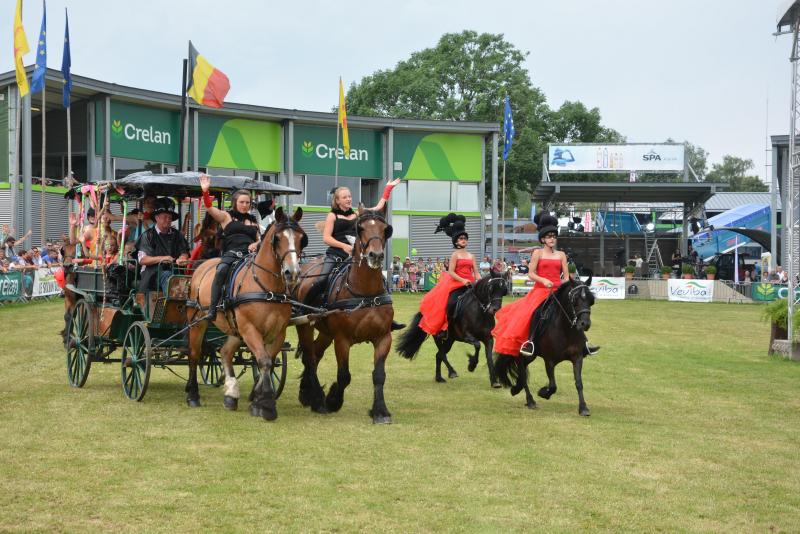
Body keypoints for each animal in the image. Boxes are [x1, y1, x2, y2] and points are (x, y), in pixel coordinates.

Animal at [186, 207, 308, 420]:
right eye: (277, 238)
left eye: (301, 238)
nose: (292, 273)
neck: (267, 287)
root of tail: (202, 266)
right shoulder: (250, 329)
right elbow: (264, 361)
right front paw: (266, 405)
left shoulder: (278, 332)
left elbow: (266, 361)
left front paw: (257, 400)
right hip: (199, 322)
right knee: (195, 354)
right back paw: (193, 395)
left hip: (235, 328)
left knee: (225, 352)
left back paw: (231, 395)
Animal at [292, 206, 396, 428]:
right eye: (360, 228)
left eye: (385, 229)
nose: (375, 255)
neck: (365, 293)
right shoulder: (342, 340)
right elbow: (344, 375)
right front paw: (333, 400)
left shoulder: (384, 338)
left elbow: (379, 375)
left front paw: (380, 411)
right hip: (305, 325)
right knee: (309, 358)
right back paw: (317, 400)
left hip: (325, 333)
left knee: (315, 354)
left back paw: (307, 393)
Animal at [496, 276, 596, 418]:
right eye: (574, 299)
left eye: (591, 300)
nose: (585, 324)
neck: (565, 329)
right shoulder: (549, 360)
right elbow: (553, 385)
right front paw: (543, 392)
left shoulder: (577, 357)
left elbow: (578, 382)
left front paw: (583, 408)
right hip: (524, 353)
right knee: (522, 370)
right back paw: (530, 400)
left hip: (532, 356)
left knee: (523, 369)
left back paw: (517, 389)